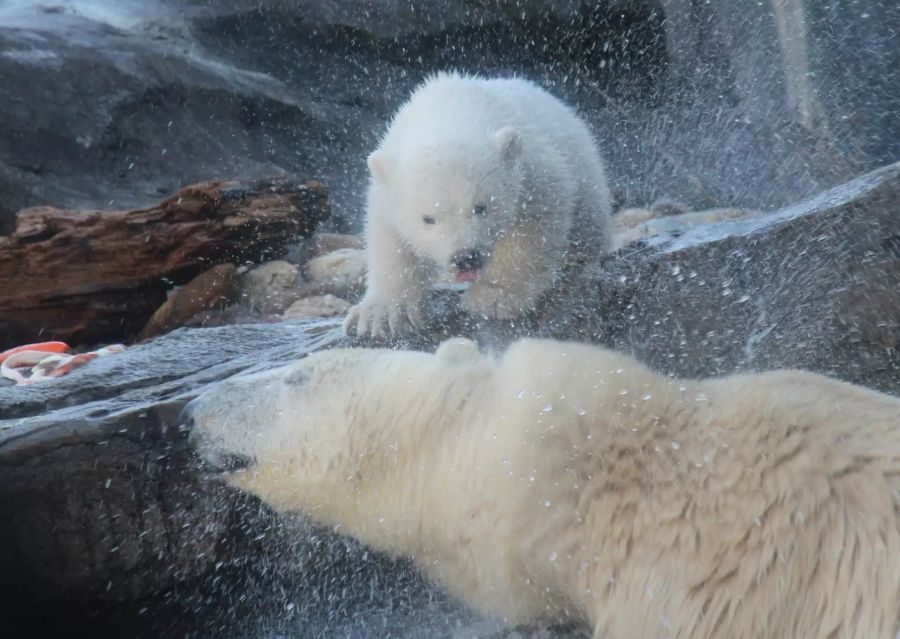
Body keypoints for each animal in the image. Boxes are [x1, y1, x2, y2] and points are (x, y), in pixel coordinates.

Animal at [342, 72, 612, 338]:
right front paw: (382, 315)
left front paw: (493, 297)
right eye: (428, 218)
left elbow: (535, 226)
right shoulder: (387, 190)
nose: (465, 258)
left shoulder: (534, 168)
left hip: (587, 178)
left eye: (481, 207)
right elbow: (389, 240)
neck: (450, 112)